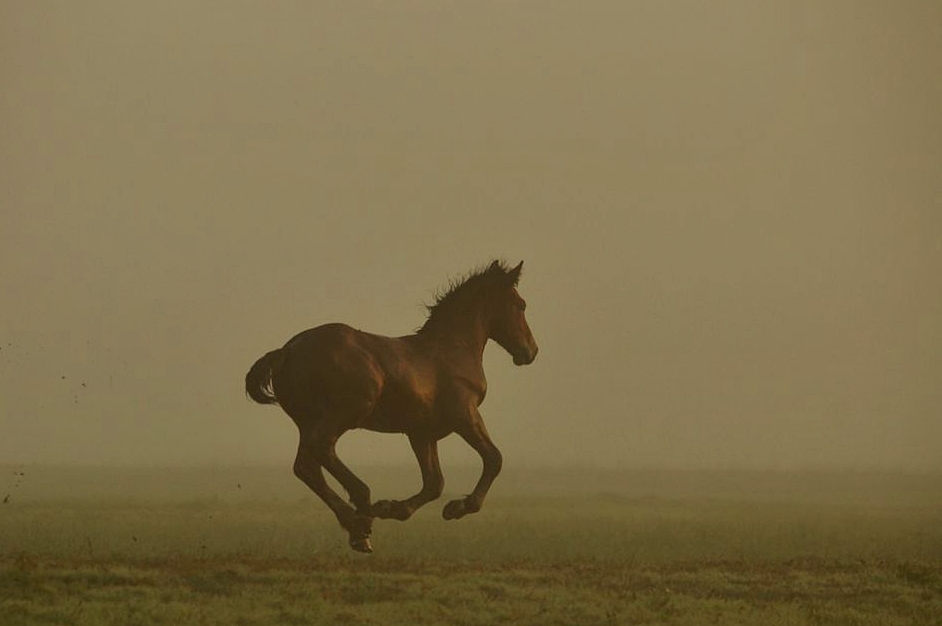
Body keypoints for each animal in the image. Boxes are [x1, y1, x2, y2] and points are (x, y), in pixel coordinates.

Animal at [243, 258, 540, 552]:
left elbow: (434, 483)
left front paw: (394, 508)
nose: (531, 352)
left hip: (308, 421)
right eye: (521, 305)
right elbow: (494, 459)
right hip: (348, 411)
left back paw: (358, 527)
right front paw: (457, 507)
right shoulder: (465, 416)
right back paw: (362, 509)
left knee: (306, 466)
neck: (452, 349)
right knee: (322, 449)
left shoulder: (422, 433)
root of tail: (287, 351)